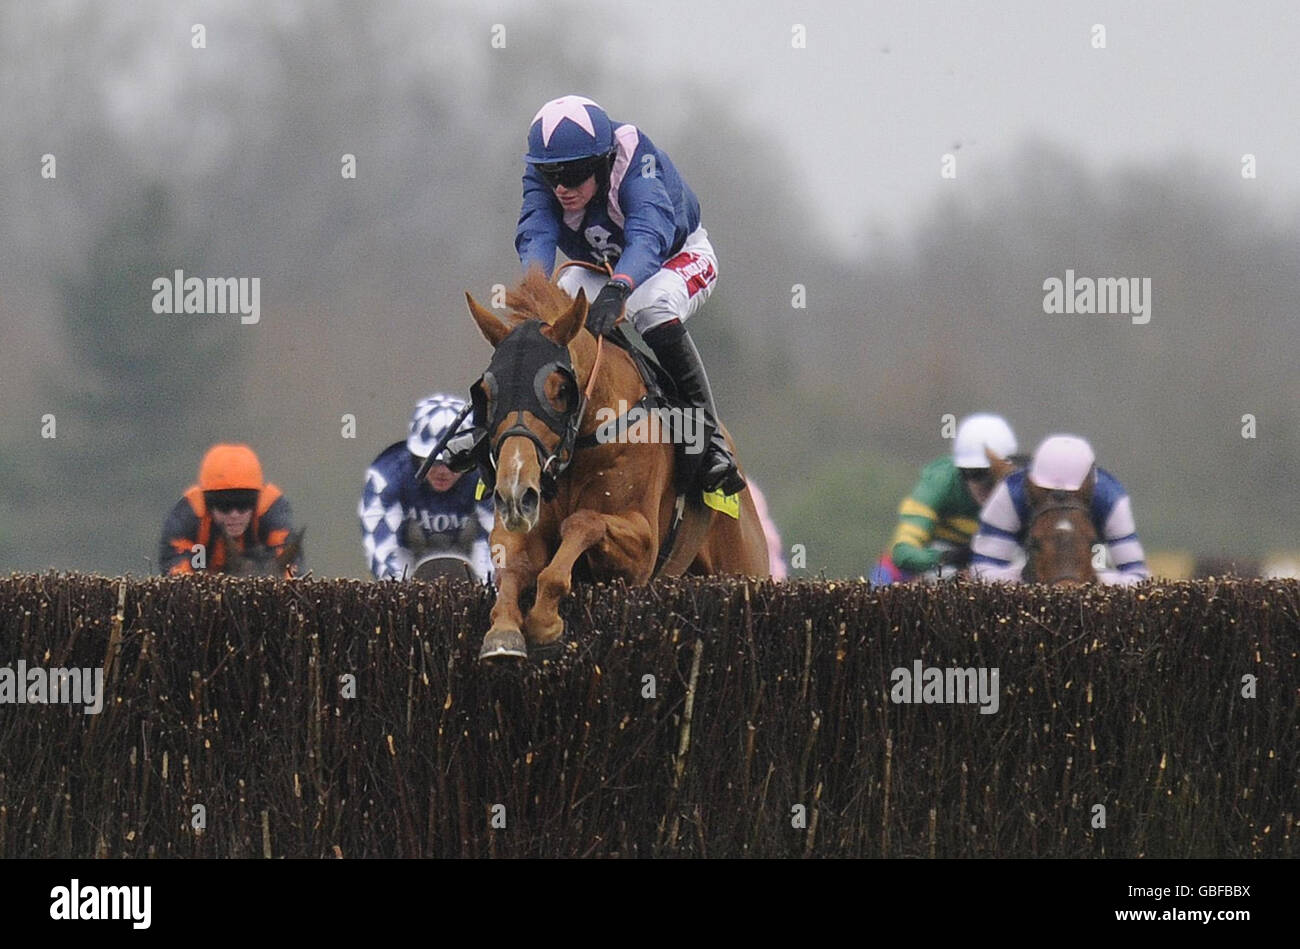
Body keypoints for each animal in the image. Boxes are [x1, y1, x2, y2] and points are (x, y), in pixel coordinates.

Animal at [462, 266, 764, 657]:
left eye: (561, 389)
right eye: (486, 393)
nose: (515, 490)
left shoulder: (642, 550)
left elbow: (582, 522)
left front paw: (545, 620)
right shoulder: (517, 523)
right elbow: (511, 567)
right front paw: (503, 631)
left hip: (745, 566)